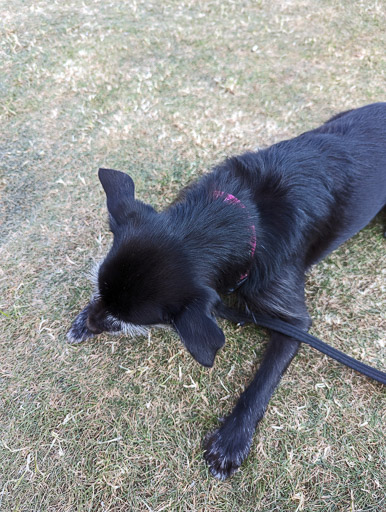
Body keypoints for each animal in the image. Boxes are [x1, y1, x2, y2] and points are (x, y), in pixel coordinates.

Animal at [68, 103, 386, 480]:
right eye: (102, 295)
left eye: (123, 321)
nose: (92, 322)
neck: (236, 218)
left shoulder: (295, 323)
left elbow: (262, 382)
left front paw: (233, 438)